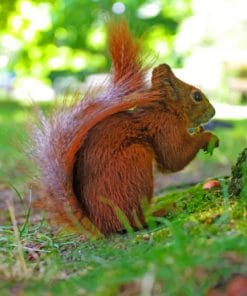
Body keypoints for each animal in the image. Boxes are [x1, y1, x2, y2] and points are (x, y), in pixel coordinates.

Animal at [30, 19, 218, 236]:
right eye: (197, 96)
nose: (213, 112)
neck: (165, 110)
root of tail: (100, 224)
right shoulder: (164, 128)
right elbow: (173, 158)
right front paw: (208, 137)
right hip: (135, 161)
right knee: (131, 221)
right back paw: (159, 213)